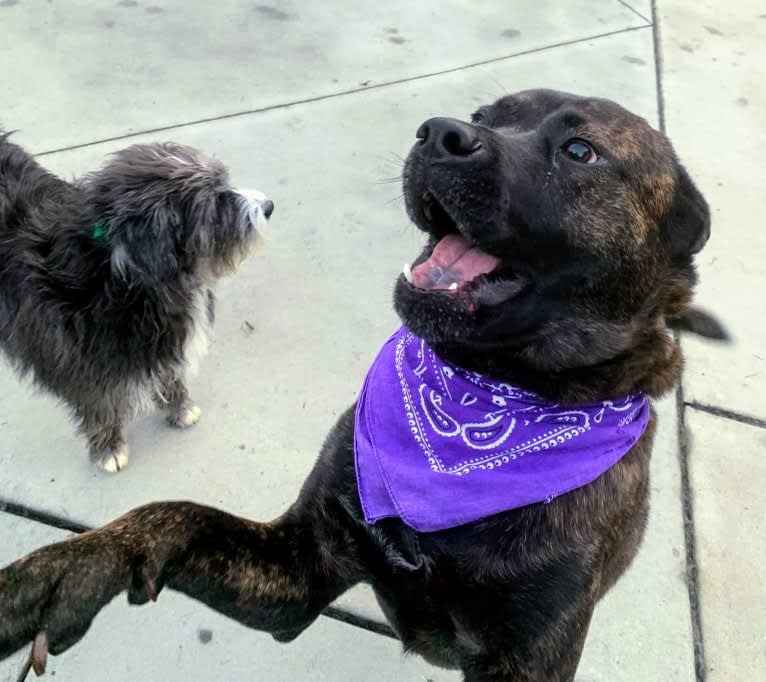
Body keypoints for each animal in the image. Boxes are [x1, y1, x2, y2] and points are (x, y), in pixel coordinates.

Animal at [0, 135, 274, 470]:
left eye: (224, 181)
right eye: (214, 202)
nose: (268, 206)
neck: (118, 270)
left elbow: (169, 371)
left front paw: (179, 407)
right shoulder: (77, 359)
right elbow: (97, 402)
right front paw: (108, 447)